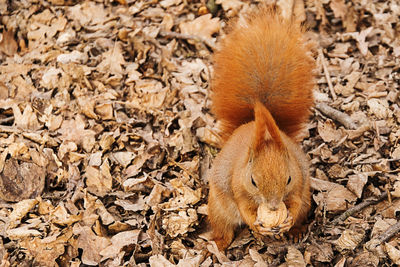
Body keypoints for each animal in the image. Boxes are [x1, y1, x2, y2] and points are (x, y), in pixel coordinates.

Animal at [206, 6, 316, 253]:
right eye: (253, 181)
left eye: (288, 178)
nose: (274, 207)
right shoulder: (238, 185)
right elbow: (244, 207)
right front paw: (257, 223)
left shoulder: (299, 183)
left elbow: (294, 202)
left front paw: (289, 220)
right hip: (217, 207)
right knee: (223, 227)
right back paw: (219, 243)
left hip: (307, 200)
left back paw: (296, 231)